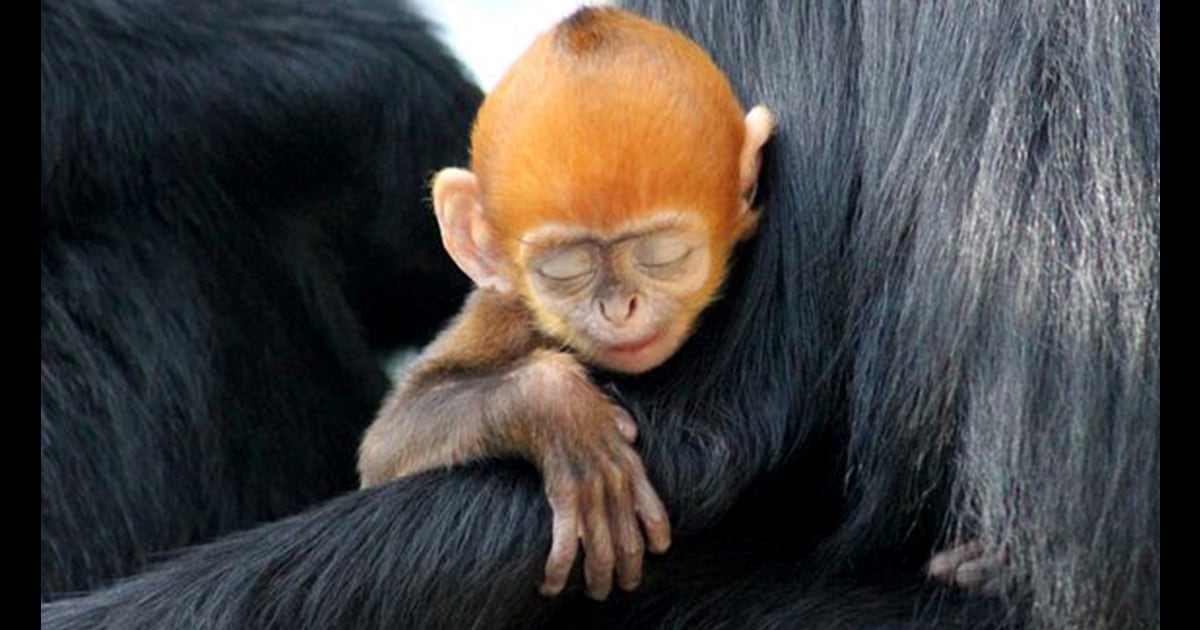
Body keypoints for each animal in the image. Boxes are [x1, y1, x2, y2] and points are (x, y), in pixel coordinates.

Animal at [357, 7, 774, 602]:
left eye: (662, 255)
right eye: (565, 270)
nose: (619, 307)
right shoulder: (505, 312)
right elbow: (385, 449)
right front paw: (561, 414)